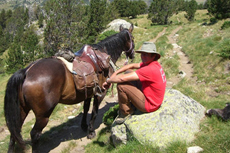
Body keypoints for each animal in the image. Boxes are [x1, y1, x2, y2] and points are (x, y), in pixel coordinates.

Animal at [4, 23, 135, 152]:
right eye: (132, 39)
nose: (133, 55)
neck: (102, 55)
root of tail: (26, 71)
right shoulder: (101, 92)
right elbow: (94, 111)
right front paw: (91, 131)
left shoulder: (88, 92)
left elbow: (86, 108)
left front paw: (84, 126)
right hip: (43, 115)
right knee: (34, 134)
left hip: (22, 110)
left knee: (14, 134)